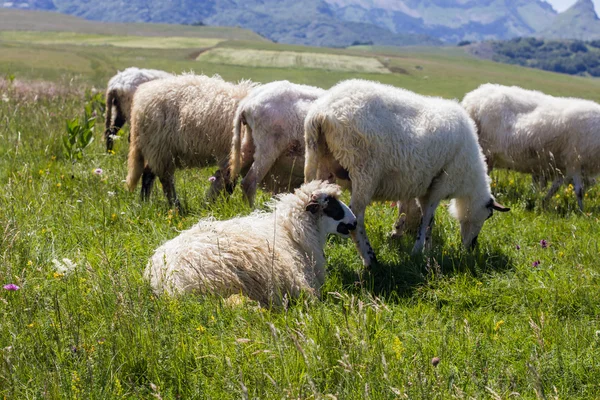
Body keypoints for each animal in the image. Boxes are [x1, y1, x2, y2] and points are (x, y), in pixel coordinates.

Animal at [125, 73, 256, 208]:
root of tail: (141, 99)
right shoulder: (236, 157)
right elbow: (229, 183)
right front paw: (221, 204)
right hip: (159, 147)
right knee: (164, 179)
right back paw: (176, 206)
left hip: (157, 149)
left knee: (148, 173)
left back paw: (145, 202)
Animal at [302, 78, 508, 268]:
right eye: (488, 215)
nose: (472, 246)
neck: (470, 180)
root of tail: (322, 113)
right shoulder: (440, 185)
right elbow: (427, 219)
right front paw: (418, 251)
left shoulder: (425, 186)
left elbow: (426, 220)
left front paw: (425, 247)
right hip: (364, 169)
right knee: (357, 216)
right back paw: (370, 259)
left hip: (319, 160)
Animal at [462, 83, 600, 211]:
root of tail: (471, 98)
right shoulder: (575, 160)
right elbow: (579, 191)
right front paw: (582, 212)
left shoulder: (563, 165)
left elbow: (556, 187)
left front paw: (544, 202)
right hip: (485, 150)